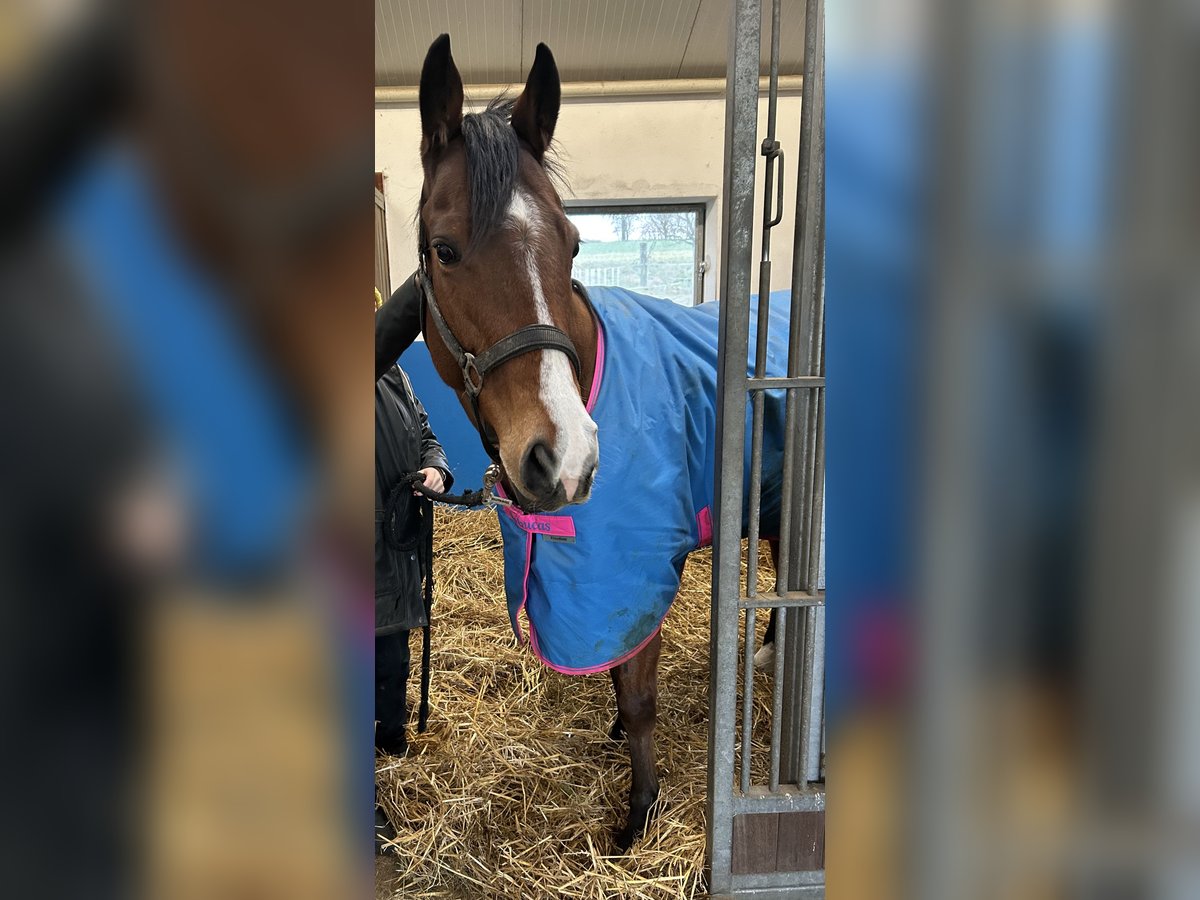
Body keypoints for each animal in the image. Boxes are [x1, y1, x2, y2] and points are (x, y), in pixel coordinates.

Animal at [417, 33, 792, 854]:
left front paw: (641, 809)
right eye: (444, 249)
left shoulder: (637, 569)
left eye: (572, 242)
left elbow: (641, 695)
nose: (567, 458)